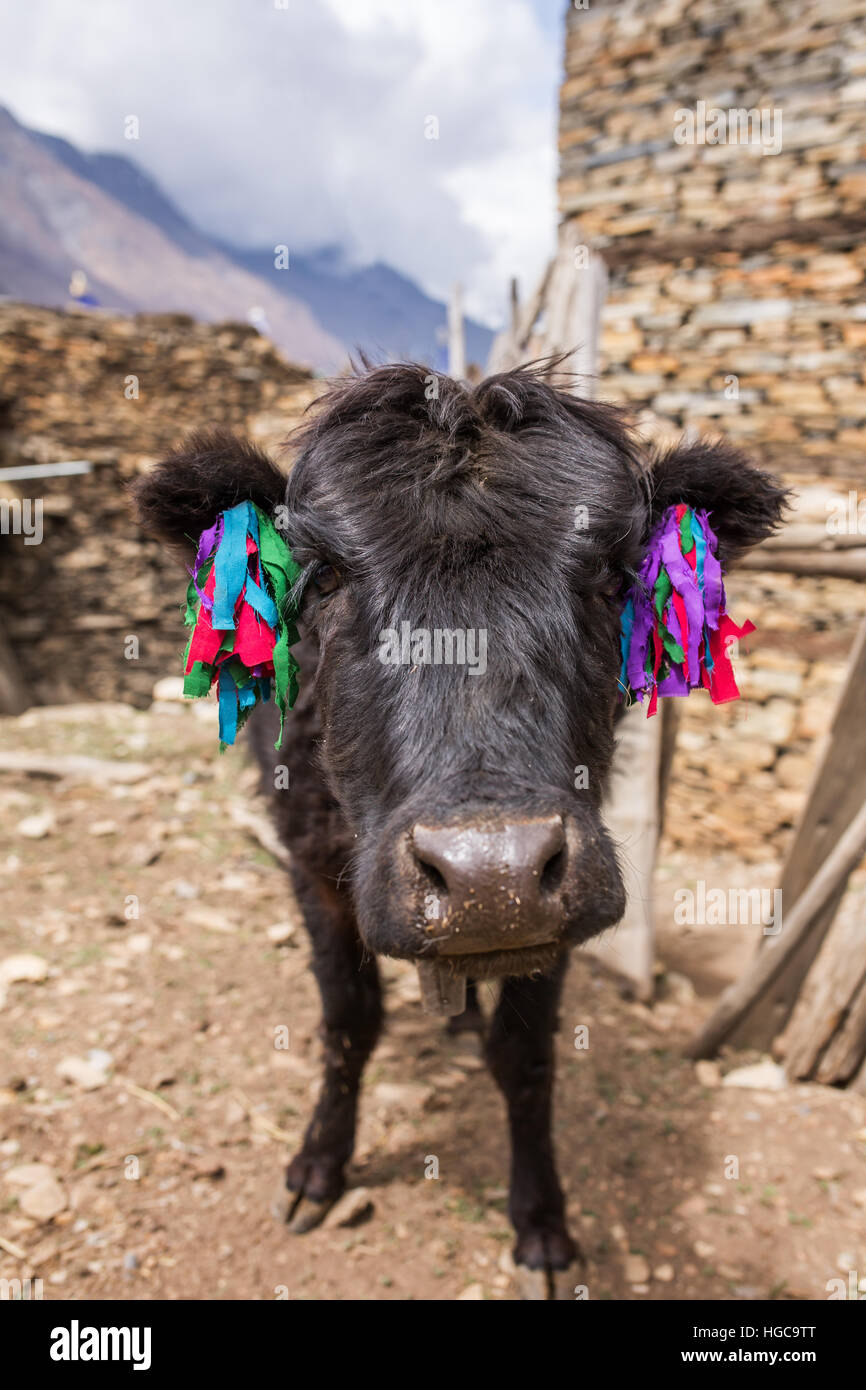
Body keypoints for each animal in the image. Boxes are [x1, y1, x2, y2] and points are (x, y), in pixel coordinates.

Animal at [133, 362, 787, 1297]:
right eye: (323, 578)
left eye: (611, 579)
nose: (491, 876)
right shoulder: (312, 869)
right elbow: (348, 1023)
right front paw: (318, 1167)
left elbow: (526, 1056)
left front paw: (542, 1224)